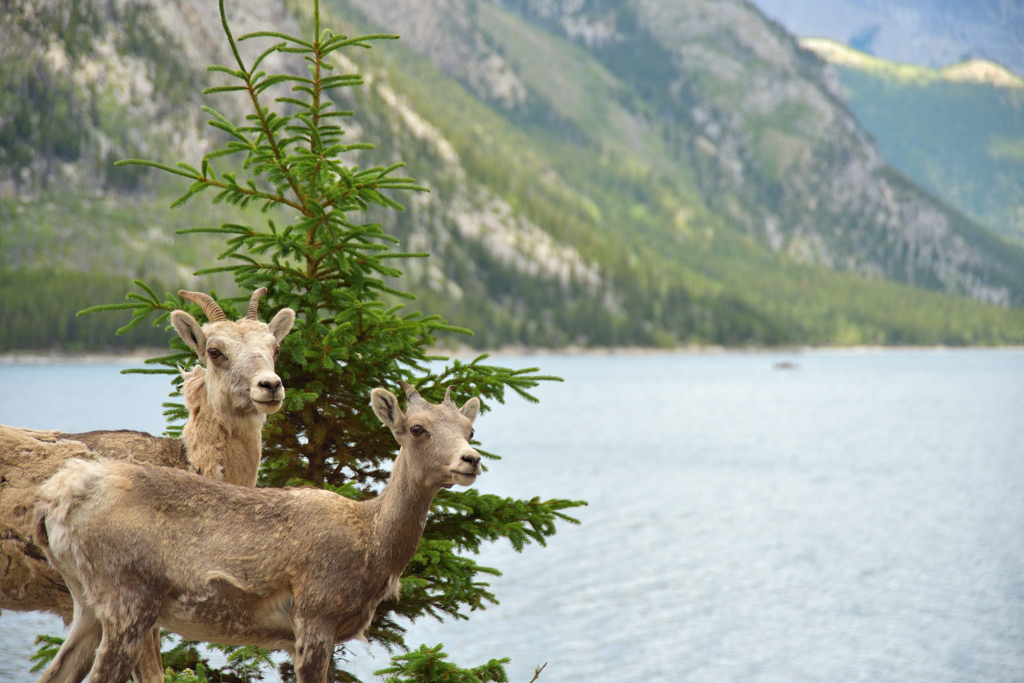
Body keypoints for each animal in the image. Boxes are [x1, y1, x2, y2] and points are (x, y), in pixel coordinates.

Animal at [32, 382, 479, 683]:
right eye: (417, 428)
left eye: (469, 429)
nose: (470, 459)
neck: (373, 546)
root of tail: (59, 498)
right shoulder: (315, 616)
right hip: (127, 596)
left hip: (86, 601)